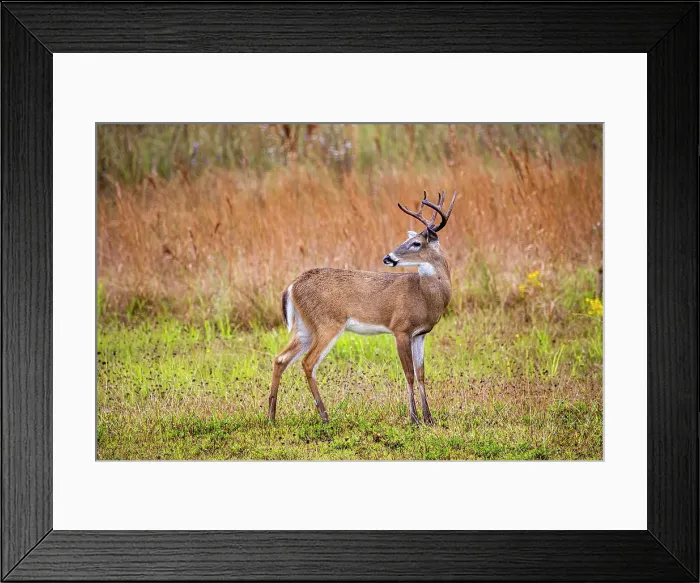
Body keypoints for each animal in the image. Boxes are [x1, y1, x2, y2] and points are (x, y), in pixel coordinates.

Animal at [268, 190, 457, 425]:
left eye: (415, 243)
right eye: (408, 240)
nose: (388, 258)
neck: (424, 295)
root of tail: (292, 286)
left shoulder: (420, 334)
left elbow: (421, 373)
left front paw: (428, 418)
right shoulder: (400, 328)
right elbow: (409, 374)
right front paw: (414, 418)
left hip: (305, 327)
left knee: (280, 359)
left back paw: (271, 416)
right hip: (327, 323)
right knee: (308, 363)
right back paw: (325, 416)